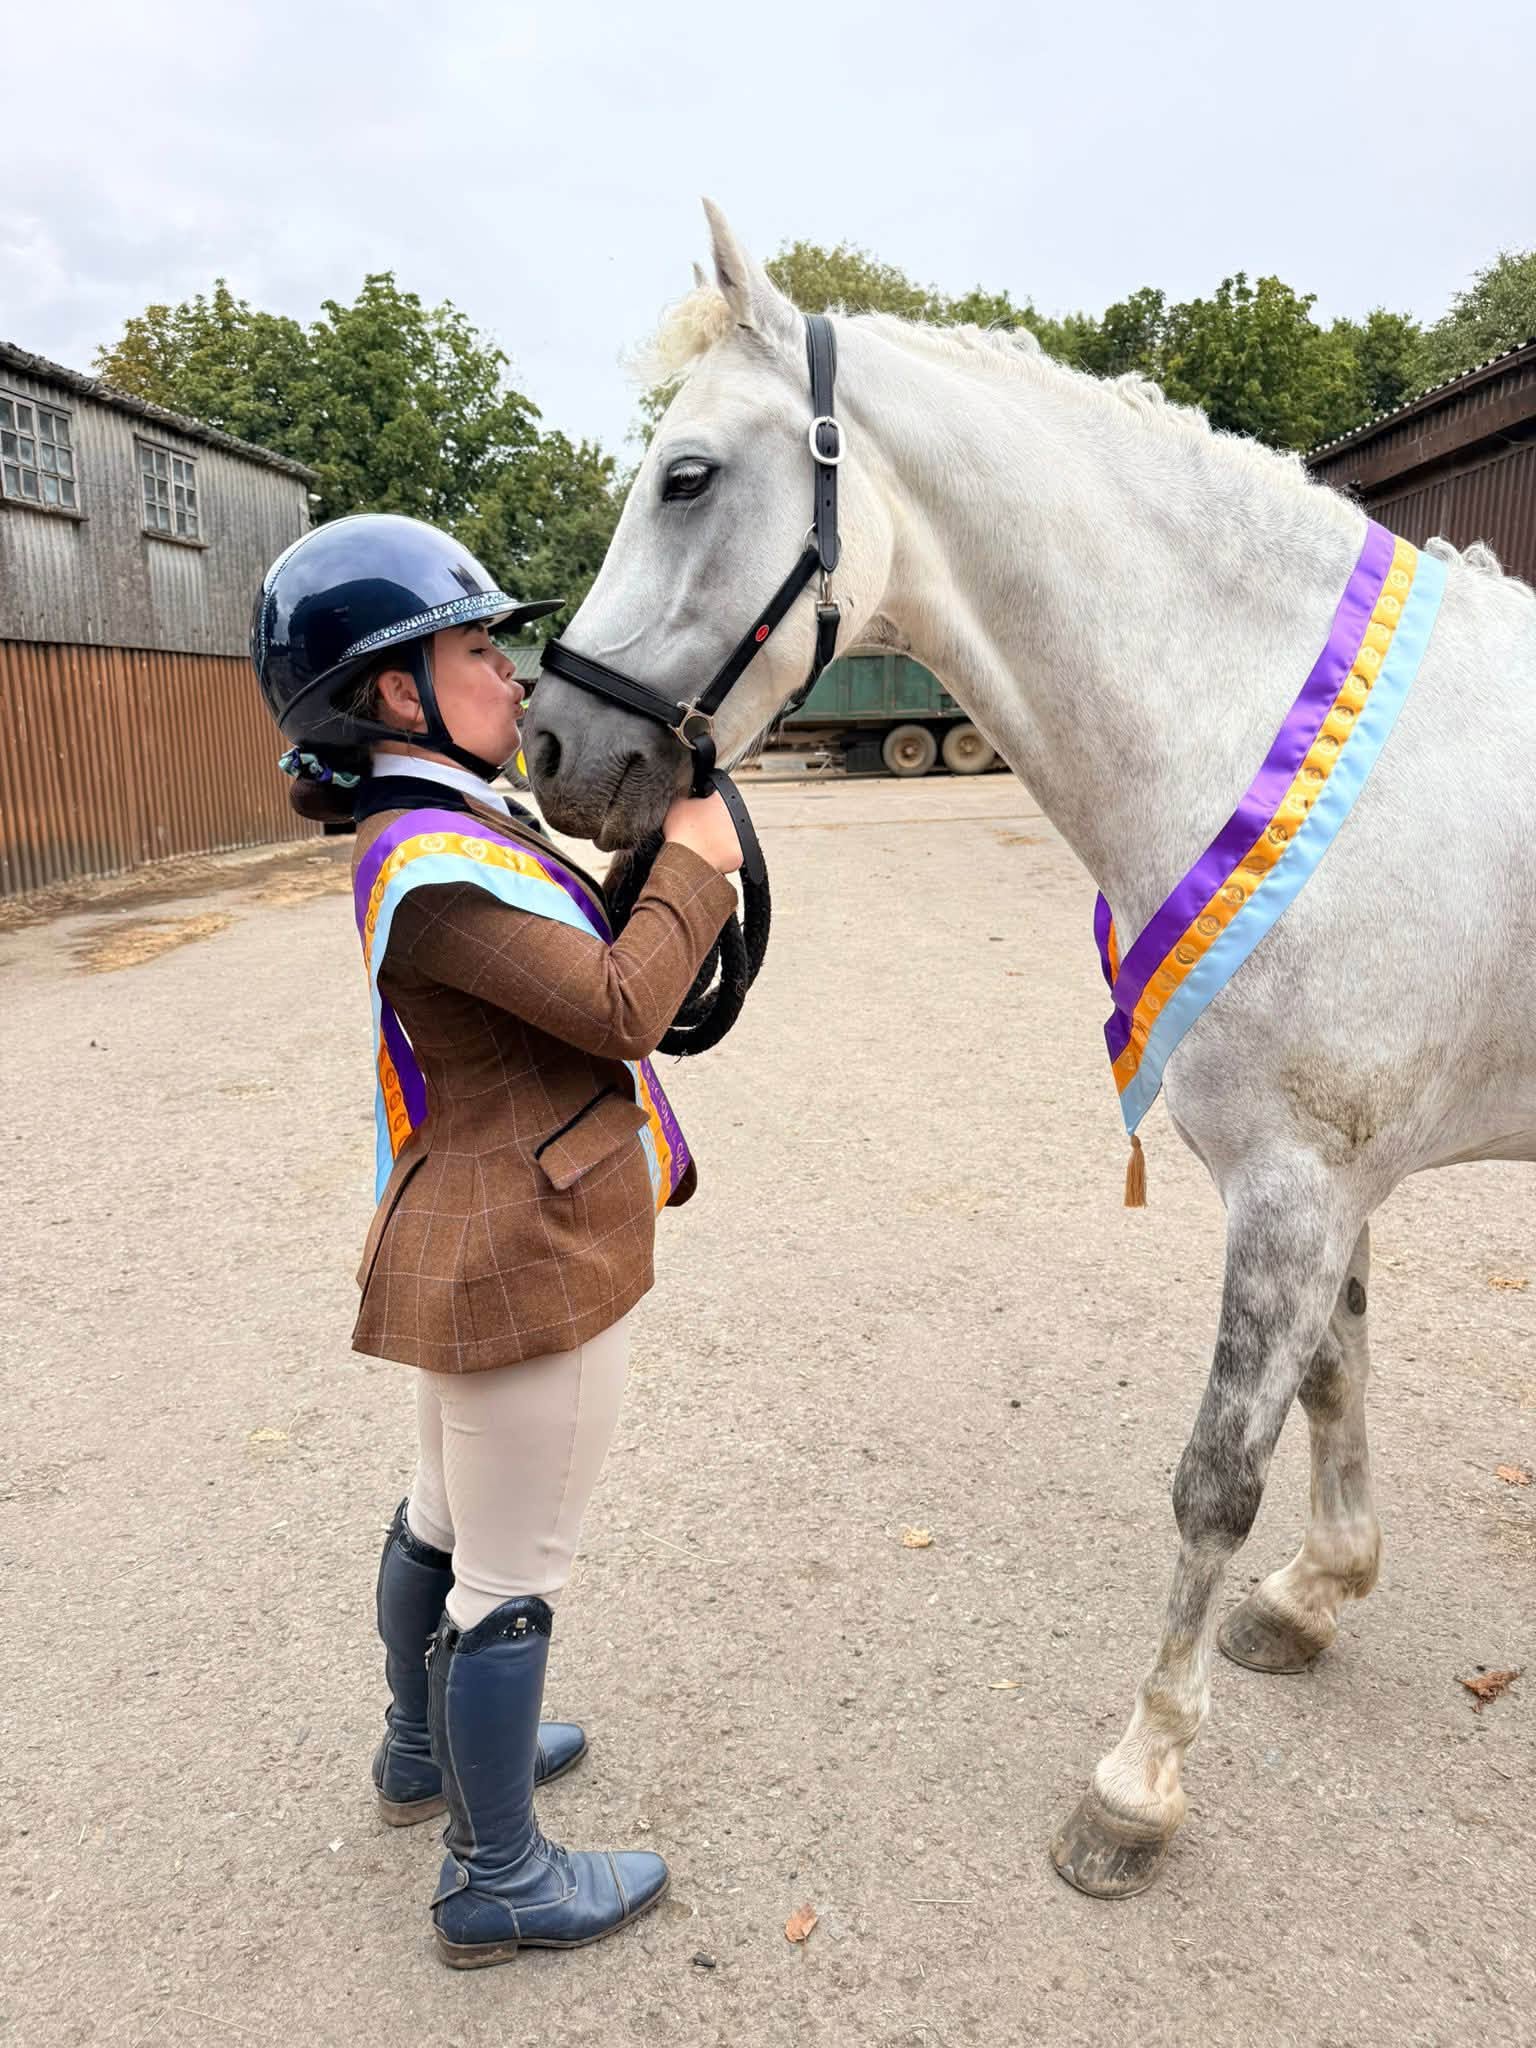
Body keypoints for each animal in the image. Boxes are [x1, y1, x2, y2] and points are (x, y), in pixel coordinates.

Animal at [524, 200, 1536, 1897]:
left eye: (687, 476)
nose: (552, 748)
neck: (1268, 726)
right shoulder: (1327, 1180)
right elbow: (1339, 1385)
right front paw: (1317, 1597)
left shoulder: (1294, 1188)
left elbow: (1216, 1477)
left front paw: (1138, 1782)